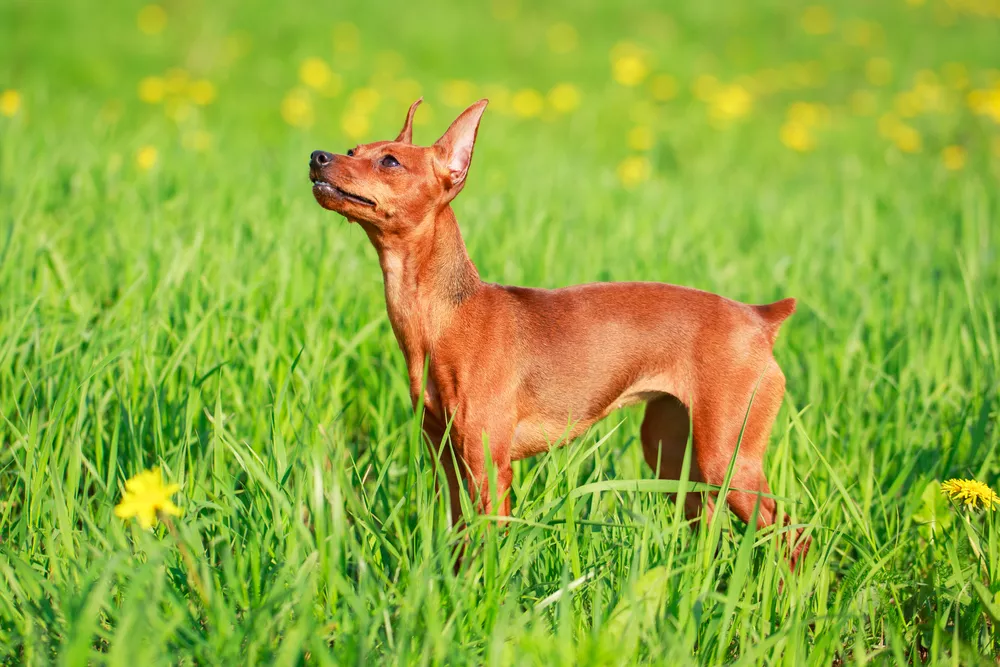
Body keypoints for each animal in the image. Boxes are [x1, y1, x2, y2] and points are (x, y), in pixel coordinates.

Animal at [308, 99, 808, 568]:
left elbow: (486, 553)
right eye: (353, 150)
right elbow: (459, 543)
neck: (444, 316)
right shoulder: (447, 463)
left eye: (390, 161)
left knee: (792, 535)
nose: (317, 155)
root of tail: (760, 318)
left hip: (729, 461)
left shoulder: (489, 469)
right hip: (673, 459)